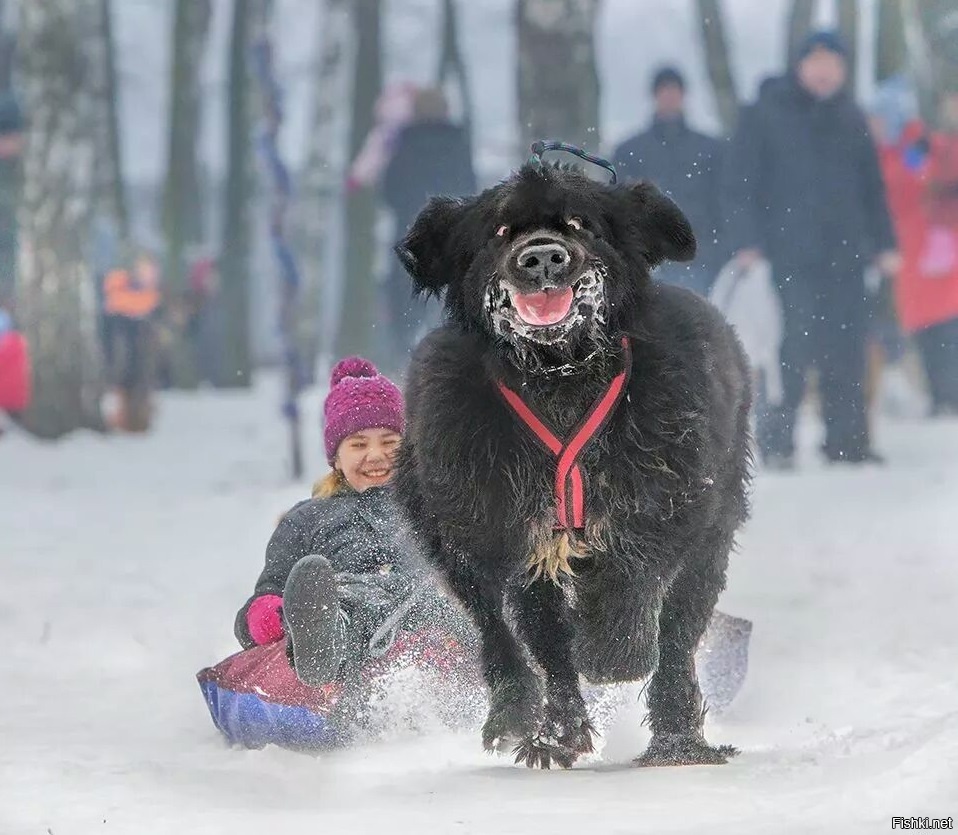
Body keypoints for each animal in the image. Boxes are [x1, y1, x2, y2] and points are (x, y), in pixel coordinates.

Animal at [394, 162, 752, 772]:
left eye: (581, 222)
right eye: (499, 230)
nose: (542, 256)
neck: (559, 375)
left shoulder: (669, 496)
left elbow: (632, 575)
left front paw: (613, 651)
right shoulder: (503, 527)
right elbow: (537, 634)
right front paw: (553, 721)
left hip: (712, 533)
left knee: (678, 636)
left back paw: (676, 739)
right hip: (448, 531)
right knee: (504, 631)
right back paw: (529, 720)